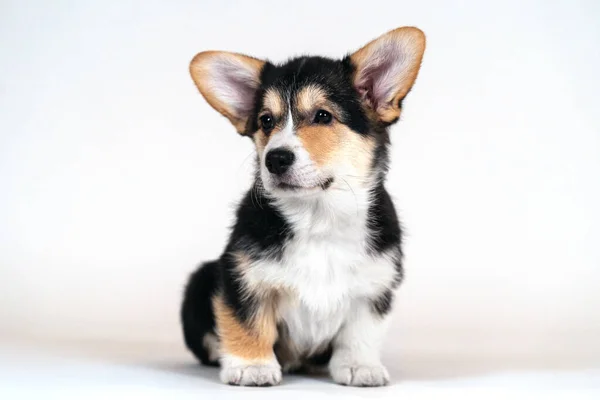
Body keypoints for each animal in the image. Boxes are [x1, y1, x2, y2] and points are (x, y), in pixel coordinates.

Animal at [182, 26, 426, 386]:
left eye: (323, 116)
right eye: (265, 121)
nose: (275, 159)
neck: (317, 217)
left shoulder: (374, 286)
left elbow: (360, 332)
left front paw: (360, 366)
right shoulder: (242, 275)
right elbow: (247, 321)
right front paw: (252, 366)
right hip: (199, 279)